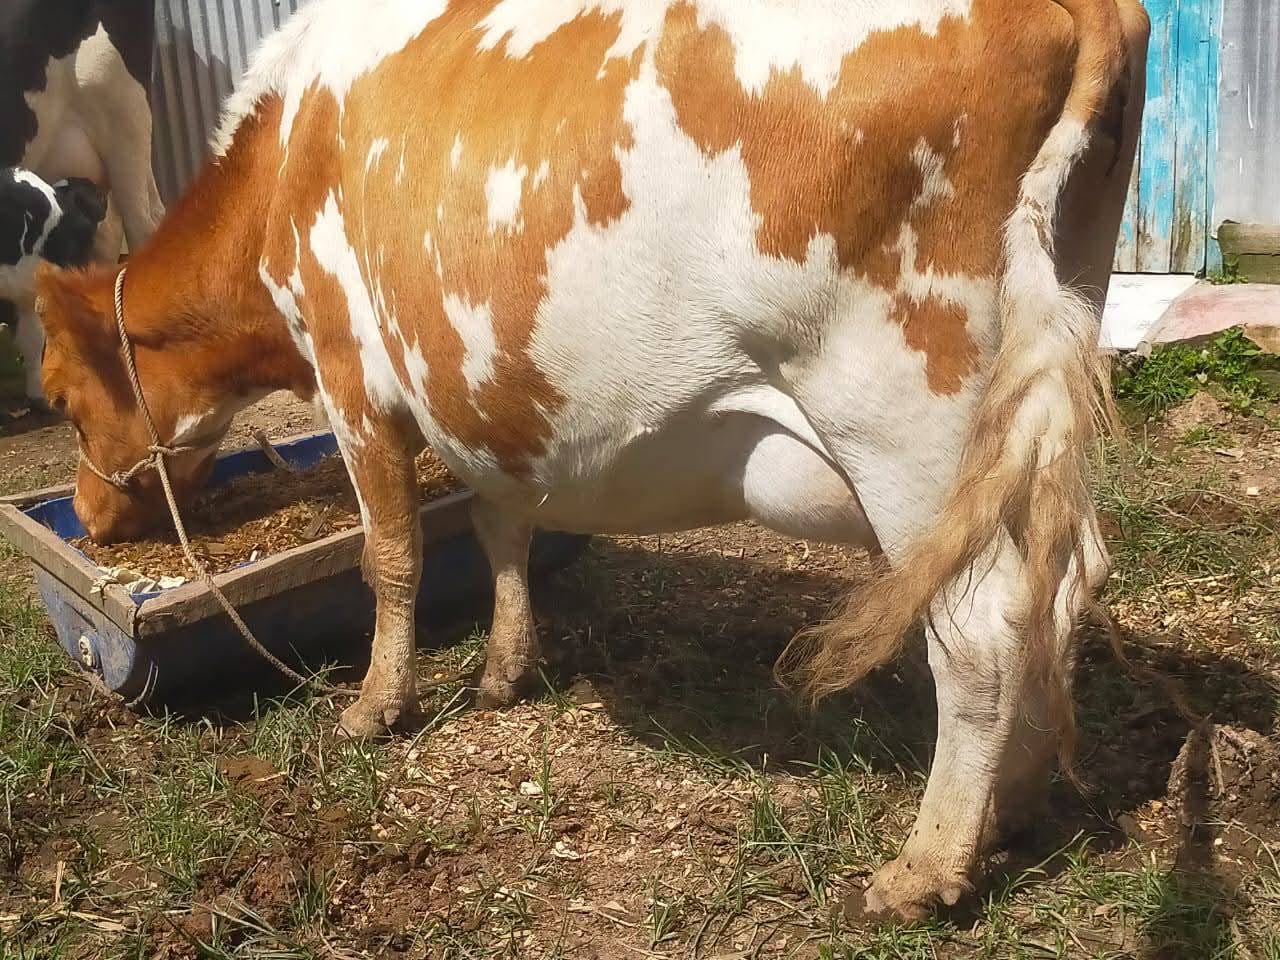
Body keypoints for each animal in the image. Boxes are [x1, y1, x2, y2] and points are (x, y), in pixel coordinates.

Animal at [33, 0, 1149, 919]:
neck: (286, 145)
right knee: (1063, 577)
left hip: (904, 414)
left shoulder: (353, 372)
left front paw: (374, 707)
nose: (88, 516)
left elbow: (388, 556)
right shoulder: (476, 395)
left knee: (981, 624)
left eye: (59, 397)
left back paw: (925, 868)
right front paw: (503, 668)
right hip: (1034, 385)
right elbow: (499, 523)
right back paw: (1015, 804)